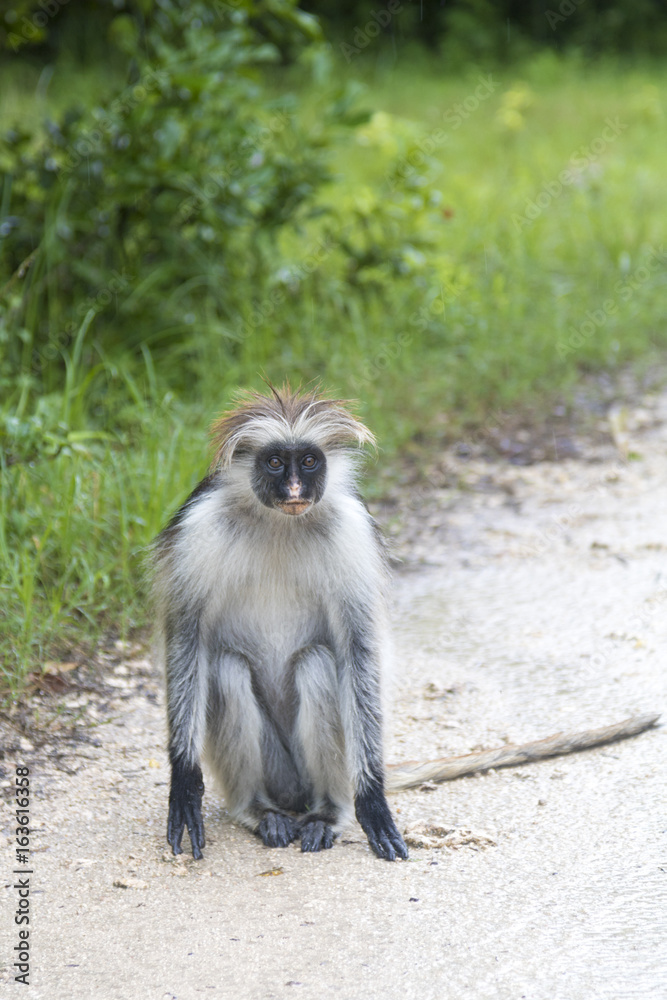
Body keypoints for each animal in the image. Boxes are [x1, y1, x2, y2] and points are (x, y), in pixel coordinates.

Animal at [153, 382, 660, 862]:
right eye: (276, 462)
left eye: (310, 462)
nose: (295, 490)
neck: (280, 522)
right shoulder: (199, 528)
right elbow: (187, 638)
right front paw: (185, 785)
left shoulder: (352, 531)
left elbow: (359, 648)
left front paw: (373, 800)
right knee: (227, 668)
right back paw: (261, 811)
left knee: (318, 664)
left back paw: (328, 812)